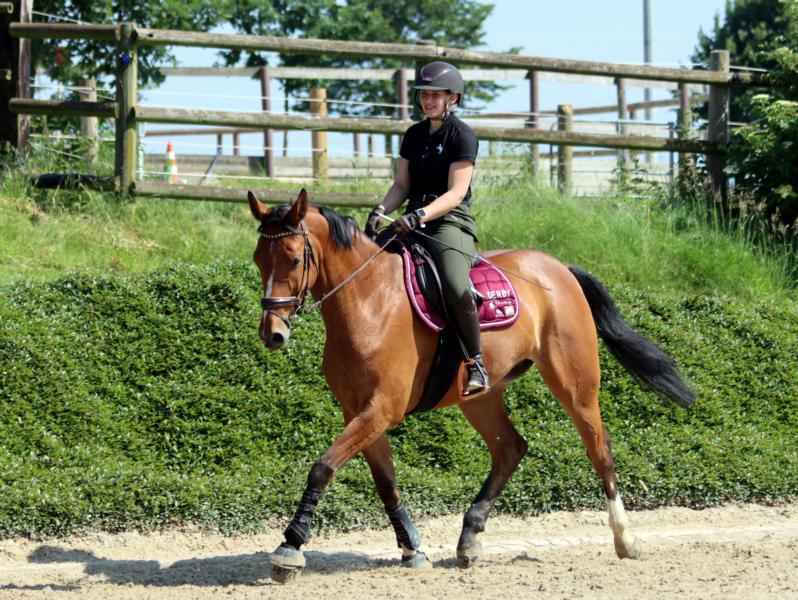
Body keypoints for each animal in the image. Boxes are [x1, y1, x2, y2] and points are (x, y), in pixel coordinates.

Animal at [248, 188, 694, 583]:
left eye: (292, 259)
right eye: (257, 259)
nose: (273, 334)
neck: (368, 300)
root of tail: (559, 267)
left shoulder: (381, 409)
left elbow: (322, 468)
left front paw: (289, 548)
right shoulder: (359, 410)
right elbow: (385, 480)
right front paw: (412, 548)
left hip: (575, 384)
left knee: (599, 449)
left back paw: (625, 539)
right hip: (479, 396)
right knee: (510, 447)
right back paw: (470, 538)